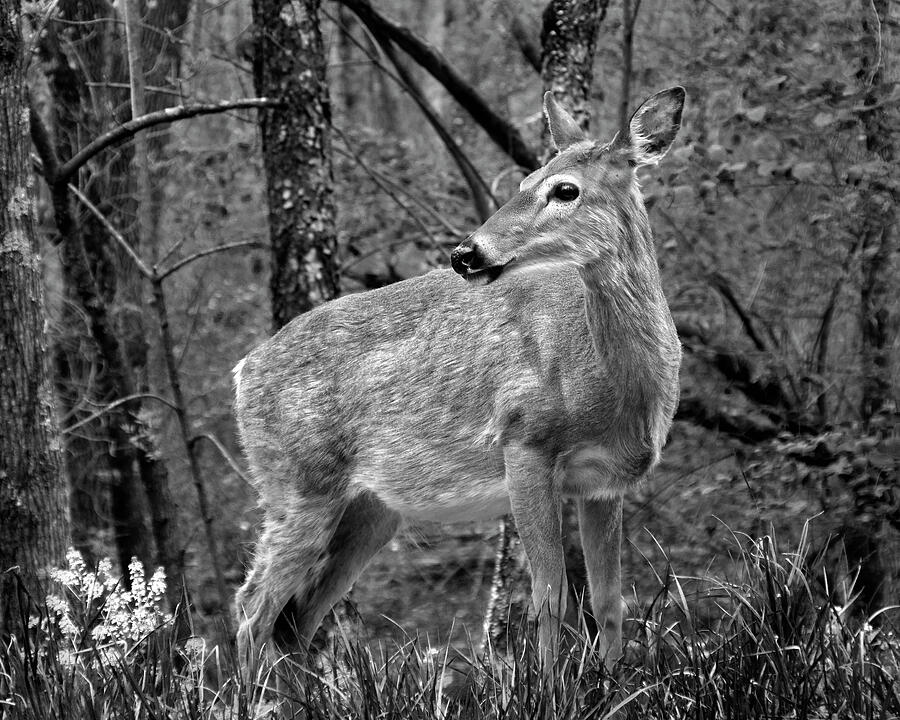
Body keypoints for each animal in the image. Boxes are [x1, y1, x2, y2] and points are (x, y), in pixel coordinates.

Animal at [232, 87, 684, 672]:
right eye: (523, 182)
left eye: (565, 189)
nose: (466, 253)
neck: (615, 385)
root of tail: (243, 371)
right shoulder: (524, 439)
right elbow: (549, 598)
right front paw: (548, 685)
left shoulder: (604, 480)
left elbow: (609, 602)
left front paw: (612, 682)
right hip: (297, 483)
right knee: (252, 609)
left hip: (371, 510)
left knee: (294, 620)